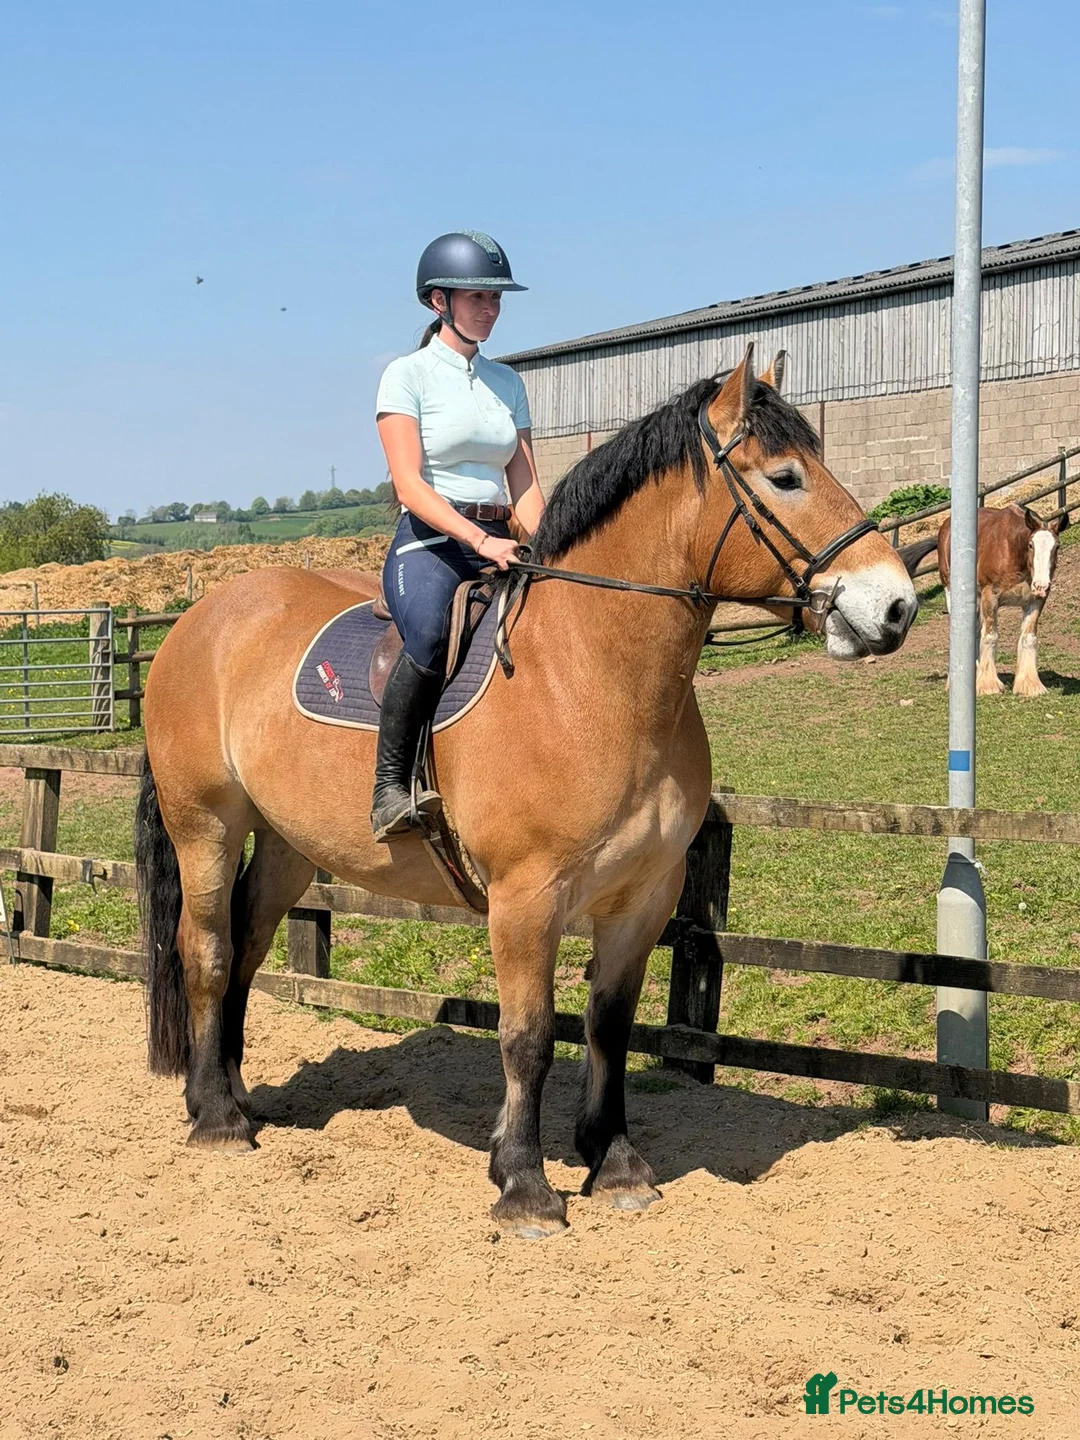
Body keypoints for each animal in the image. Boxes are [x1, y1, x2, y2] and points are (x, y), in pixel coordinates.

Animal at [135, 344, 918, 1239]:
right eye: (786, 478)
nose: (897, 605)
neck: (585, 675)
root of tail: (199, 620)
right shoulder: (525, 897)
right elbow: (528, 1036)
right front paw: (524, 1184)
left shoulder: (646, 893)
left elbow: (609, 1026)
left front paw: (615, 1164)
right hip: (205, 824)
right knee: (206, 949)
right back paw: (217, 1121)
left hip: (288, 843)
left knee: (247, 947)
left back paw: (231, 1096)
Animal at [903, 503, 1068, 697]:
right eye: (1031, 545)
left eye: (1056, 546)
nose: (1041, 585)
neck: (1012, 550)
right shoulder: (991, 596)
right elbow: (990, 636)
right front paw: (989, 685)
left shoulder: (1034, 601)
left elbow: (1029, 638)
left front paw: (1029, 685)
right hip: (953, 592)